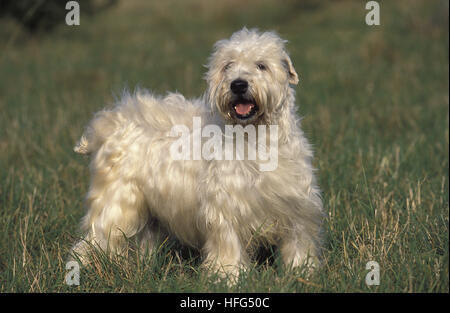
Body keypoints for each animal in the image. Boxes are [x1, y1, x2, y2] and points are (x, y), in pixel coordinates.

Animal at [71, 28, 324, 278]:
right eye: (228, 65)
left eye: (261, 65)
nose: (238, 84)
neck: (255, 138)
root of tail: (110, 120)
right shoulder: (225, 208)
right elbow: (228, 245)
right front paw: (229, 275)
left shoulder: (296, 207)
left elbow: (298, 243)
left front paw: (302, 272)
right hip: (117, 202)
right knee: (94, 239)